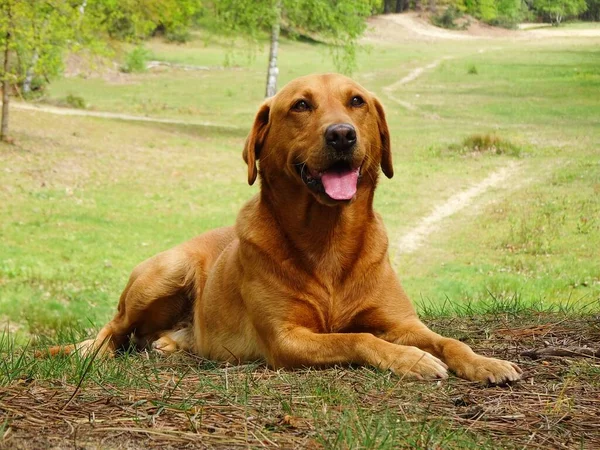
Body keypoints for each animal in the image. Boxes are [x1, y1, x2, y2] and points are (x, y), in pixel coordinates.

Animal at [42, 74, 520, 384]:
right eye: (301, 105)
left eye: (357, 102)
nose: (342, 135)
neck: (328, 236)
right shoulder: (286, 339)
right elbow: (359, 338)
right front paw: (412, 360)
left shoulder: (402, 322)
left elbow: (448, 340)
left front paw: (486, 363)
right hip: (164, 272)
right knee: (112, 331)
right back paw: (90, 353)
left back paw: (171, 343)